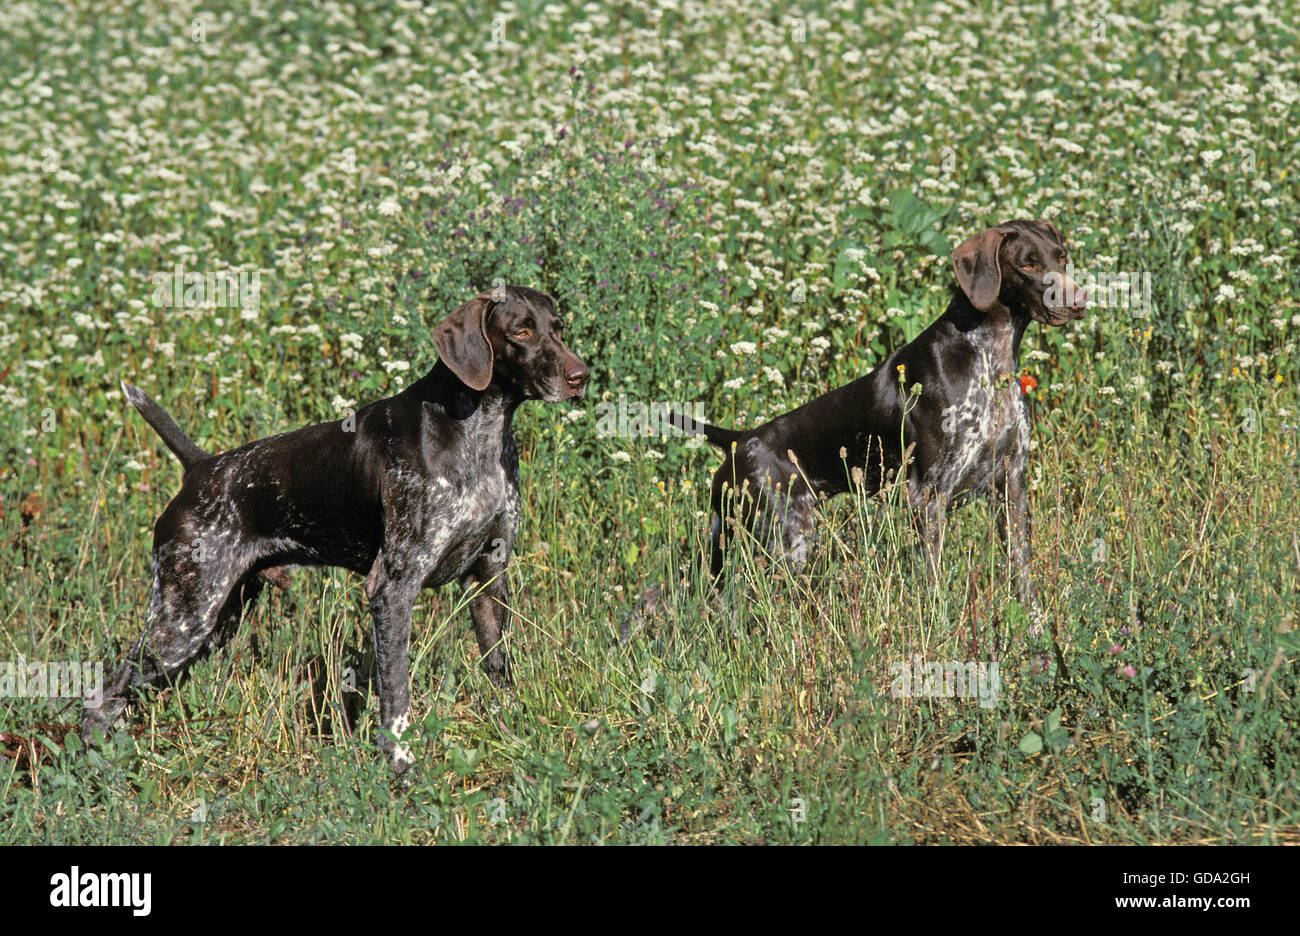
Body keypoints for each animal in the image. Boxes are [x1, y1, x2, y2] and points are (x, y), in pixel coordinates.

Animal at [81, 287, 590, 774]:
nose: (580, 376)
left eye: (558, 327)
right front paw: (400, 765)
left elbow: (499, 670)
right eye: (521, 331)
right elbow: (396, 691)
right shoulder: (393, 586)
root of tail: (200, 468)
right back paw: (93, 767)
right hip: (184, 619)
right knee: (105, 694)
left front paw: (514, 738)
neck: (477, 432)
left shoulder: (488, 577)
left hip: (217, 619)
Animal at [676, 220, 1081, 629]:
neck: (989, 358)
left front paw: (1036, 627)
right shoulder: (930, 495)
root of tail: (741, 440)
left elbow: (1022, 570)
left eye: (1061, 257)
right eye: (1027, 264)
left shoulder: (1011, 484)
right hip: (781, 542)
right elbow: (932, 579)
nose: (1079, 300)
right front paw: (937, 628)